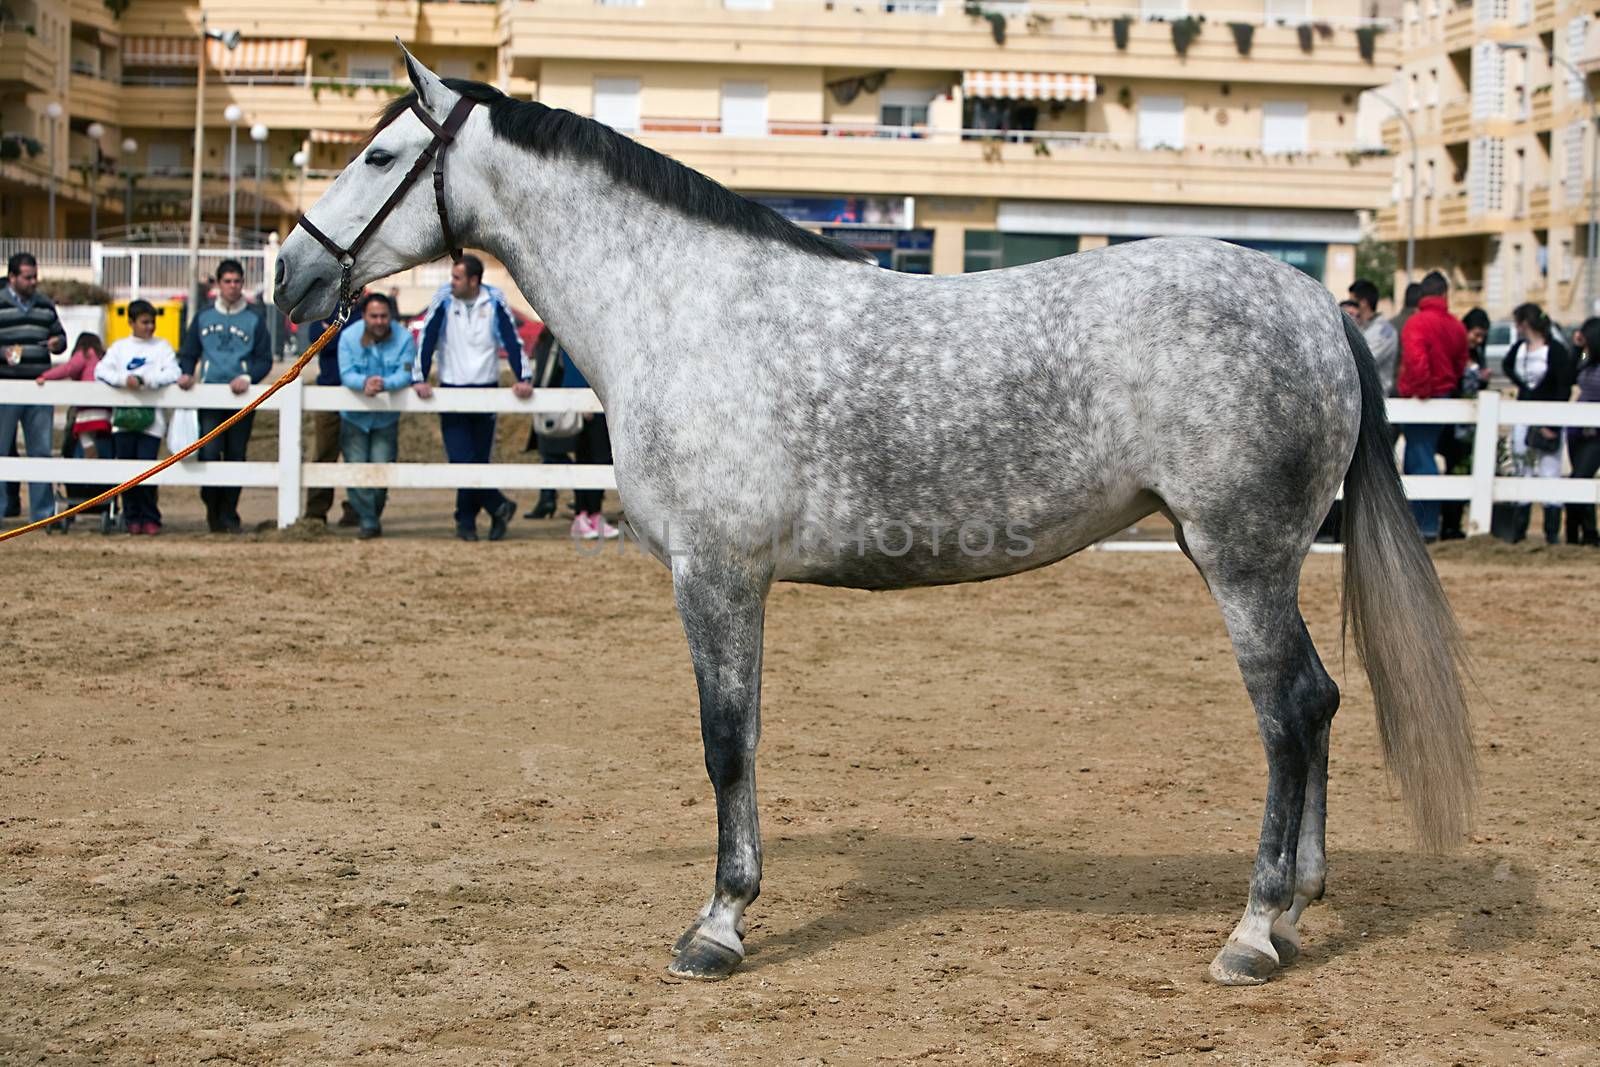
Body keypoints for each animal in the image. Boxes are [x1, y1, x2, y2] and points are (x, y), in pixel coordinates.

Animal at [272, 47, 1472, 985]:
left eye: (378, 157)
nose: (289, 276)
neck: (682, 307)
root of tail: (1311, 302)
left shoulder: (715, 573)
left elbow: (724, 739)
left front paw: (717, 924)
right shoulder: (734, 580)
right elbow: (746, 735)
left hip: (1241, 557)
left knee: (1287, 712)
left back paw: (1255, 930)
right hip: (1246, 554)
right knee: (1318, 703)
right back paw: (1298, 902)